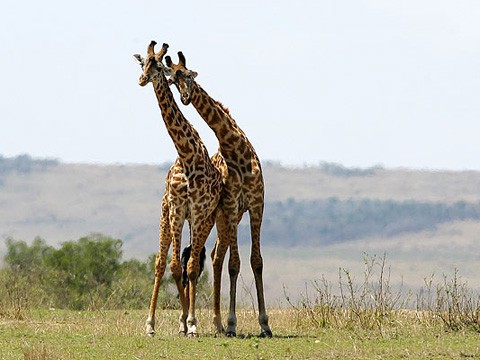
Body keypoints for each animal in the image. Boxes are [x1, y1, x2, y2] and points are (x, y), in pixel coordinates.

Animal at [133, 42, 223, 338]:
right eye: (143, 64)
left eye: (158, 67)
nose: (142, 80)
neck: (186, 155)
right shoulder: (176, 208)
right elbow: (171, 265)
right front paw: (178, 321)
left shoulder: (197, 210)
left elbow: (191, 266)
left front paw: (192, 322)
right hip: (168, 217)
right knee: (164, 264)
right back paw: (158, 323)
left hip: (203, 220)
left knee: (194, 263)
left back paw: (191, 321)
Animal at [165, 51, 272, 338]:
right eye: (173, 80)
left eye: (187, 75)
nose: (185, 97)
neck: (236, 149)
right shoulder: (233, 205)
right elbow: (235, 263)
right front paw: (234, 323)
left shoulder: (257, 204)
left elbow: (256, 261)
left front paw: (265, 324)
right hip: (219, 216)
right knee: (216, 257)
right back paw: (217, 324)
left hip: (224, 218)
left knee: (215, 256)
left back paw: (217, 323)